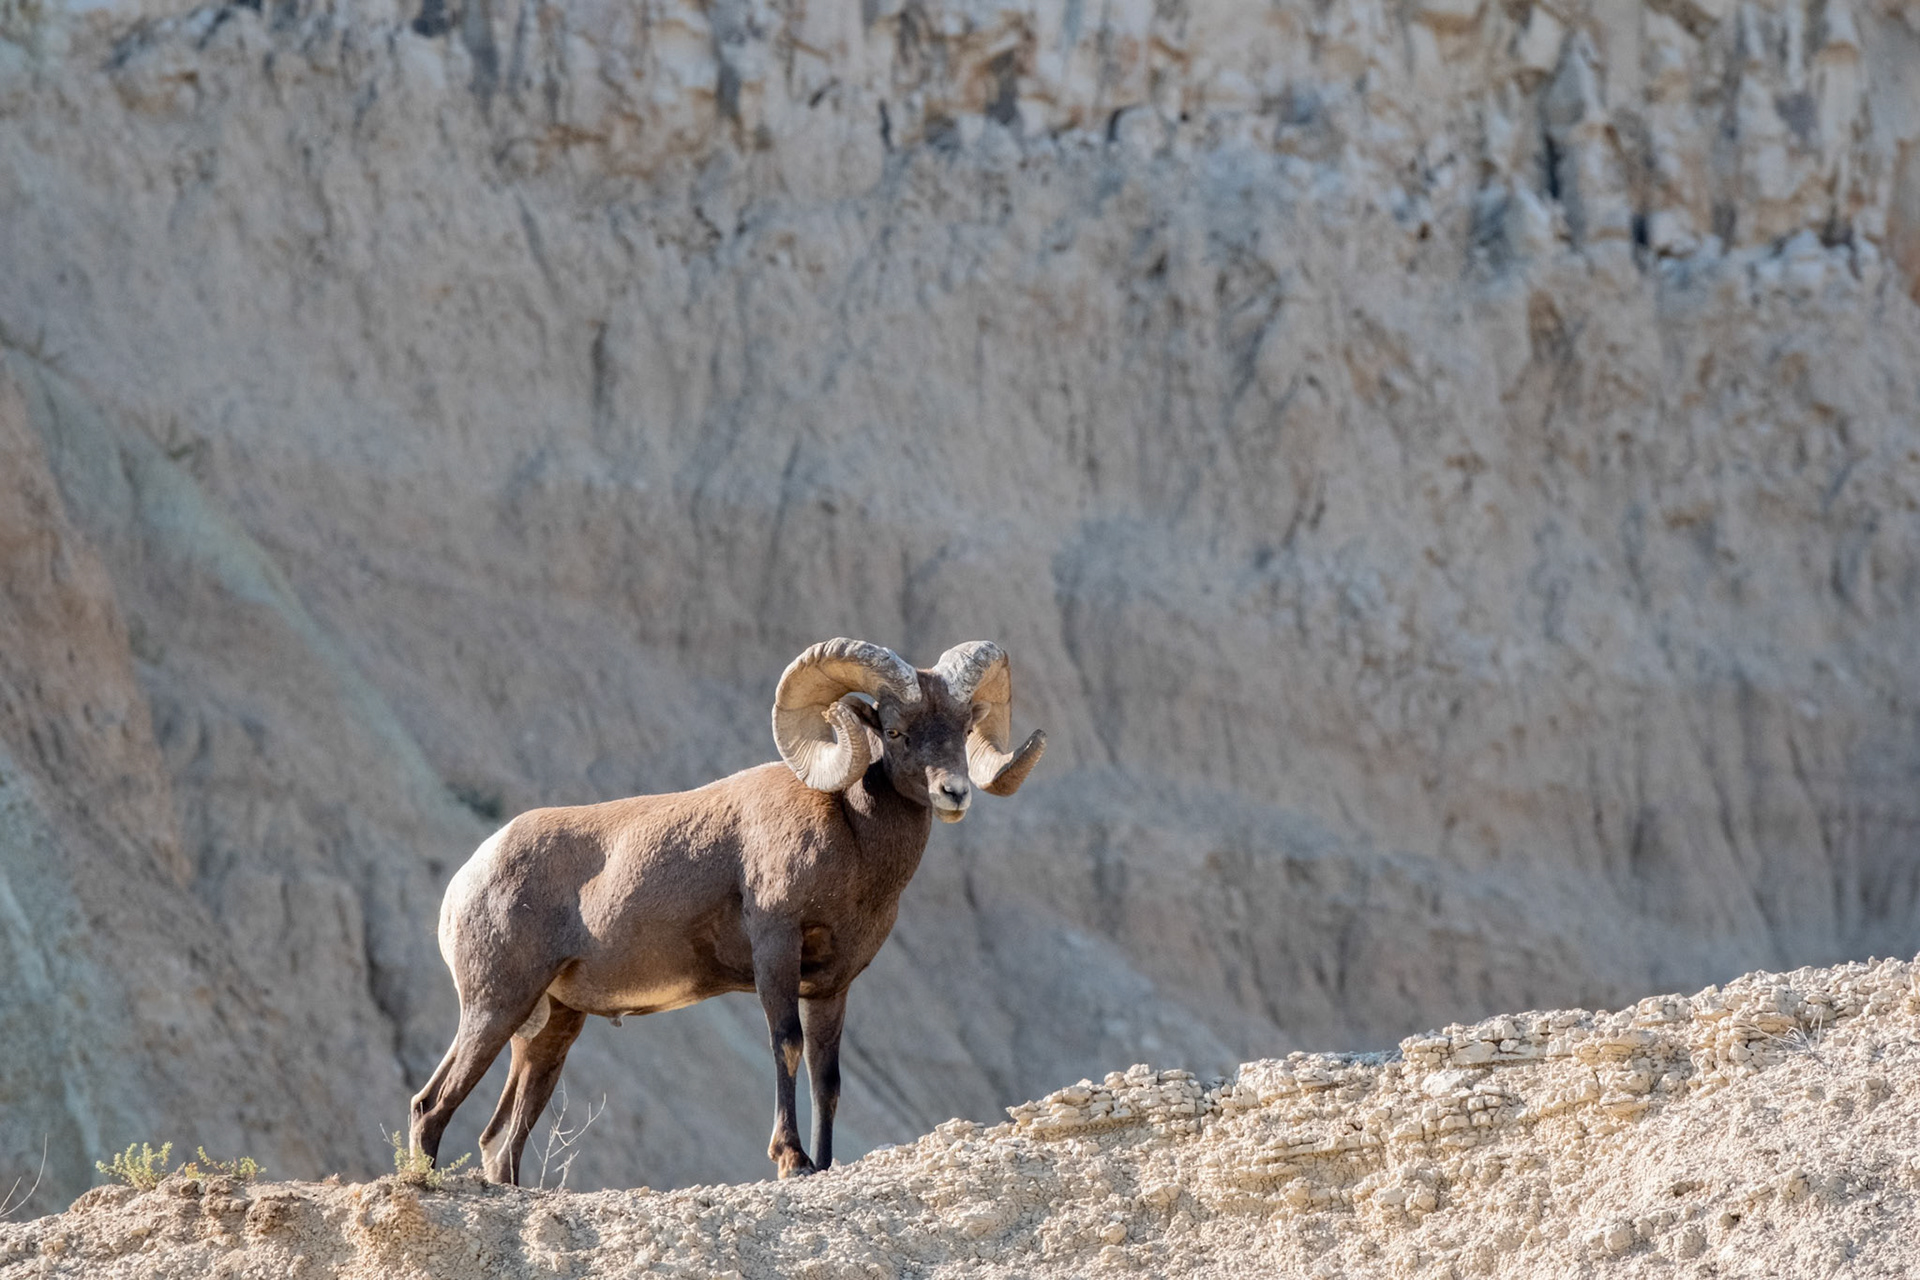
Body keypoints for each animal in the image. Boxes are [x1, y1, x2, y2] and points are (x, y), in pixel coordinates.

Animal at [408, 638, 1046, 1183]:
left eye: (963, 728)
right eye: (894, 730)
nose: (954, 793)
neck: (851, 837)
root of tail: (468, 879)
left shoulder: (831, 986)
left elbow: (827, 1078)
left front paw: (825, 1164)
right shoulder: (776, 950)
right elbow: (786, 1045)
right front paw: (792, 1161)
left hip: (548, 1029)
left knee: (499, 1140)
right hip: (495, 1005)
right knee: (431, 1105)